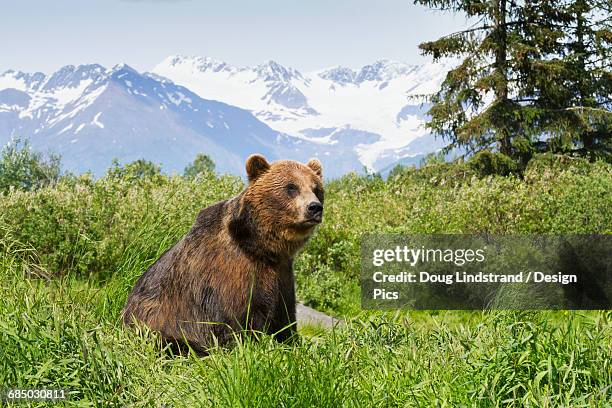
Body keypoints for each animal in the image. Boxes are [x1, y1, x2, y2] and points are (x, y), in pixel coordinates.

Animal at [121, 155, 322, 352]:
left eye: (316, 188)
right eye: (291, 187)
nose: (314, 207)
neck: (261, 246)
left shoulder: (282, 273)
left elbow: (285, 318)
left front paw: (293, 343)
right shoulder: (231, 271)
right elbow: (234, 318)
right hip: (156, 322)